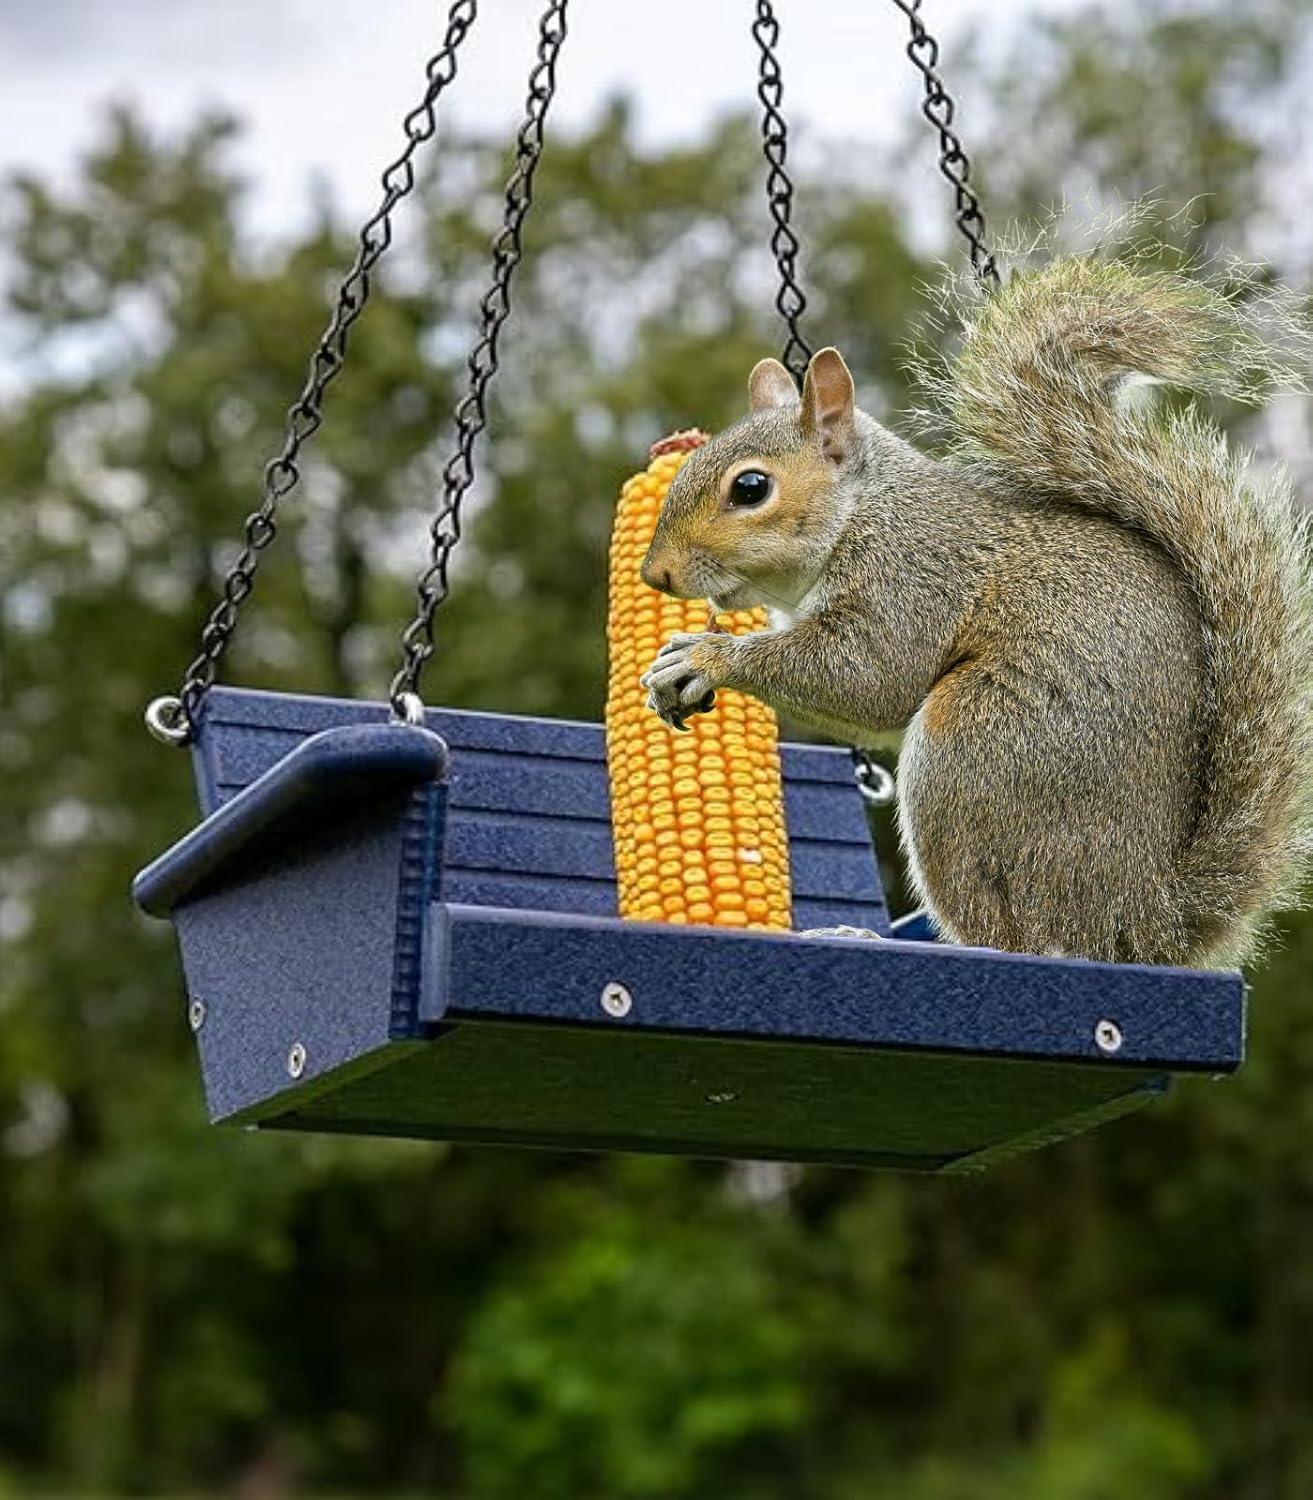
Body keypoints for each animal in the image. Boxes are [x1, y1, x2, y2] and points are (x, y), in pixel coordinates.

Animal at [639, 253, 1313, 968]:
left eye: (751, 488)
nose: (655, 573)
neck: (861, 513)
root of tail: (1141, 925)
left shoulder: (911, 576)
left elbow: (870, 678)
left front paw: (707, 657)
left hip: (974, 752)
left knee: (1014, 937)